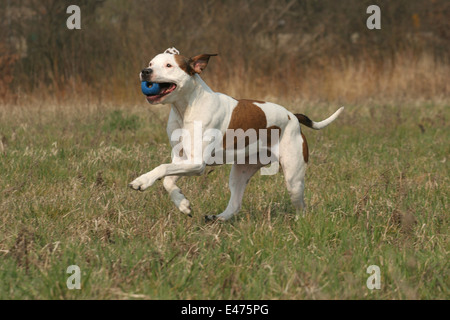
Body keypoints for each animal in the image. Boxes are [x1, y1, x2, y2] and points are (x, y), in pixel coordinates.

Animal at [128, 47, 342, 221]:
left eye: (169, 65)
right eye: (150, 63)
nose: (145, 71)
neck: (186, 108)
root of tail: (293, 116)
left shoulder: (197, 163)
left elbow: (162, 168)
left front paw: (142, 181)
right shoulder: (182, 159)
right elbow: (167, 180)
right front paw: (183, 204)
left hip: (293, 178)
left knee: (301, 206)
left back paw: (298, 222)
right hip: (240, 172)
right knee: (236, 202)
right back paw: (219, 218)